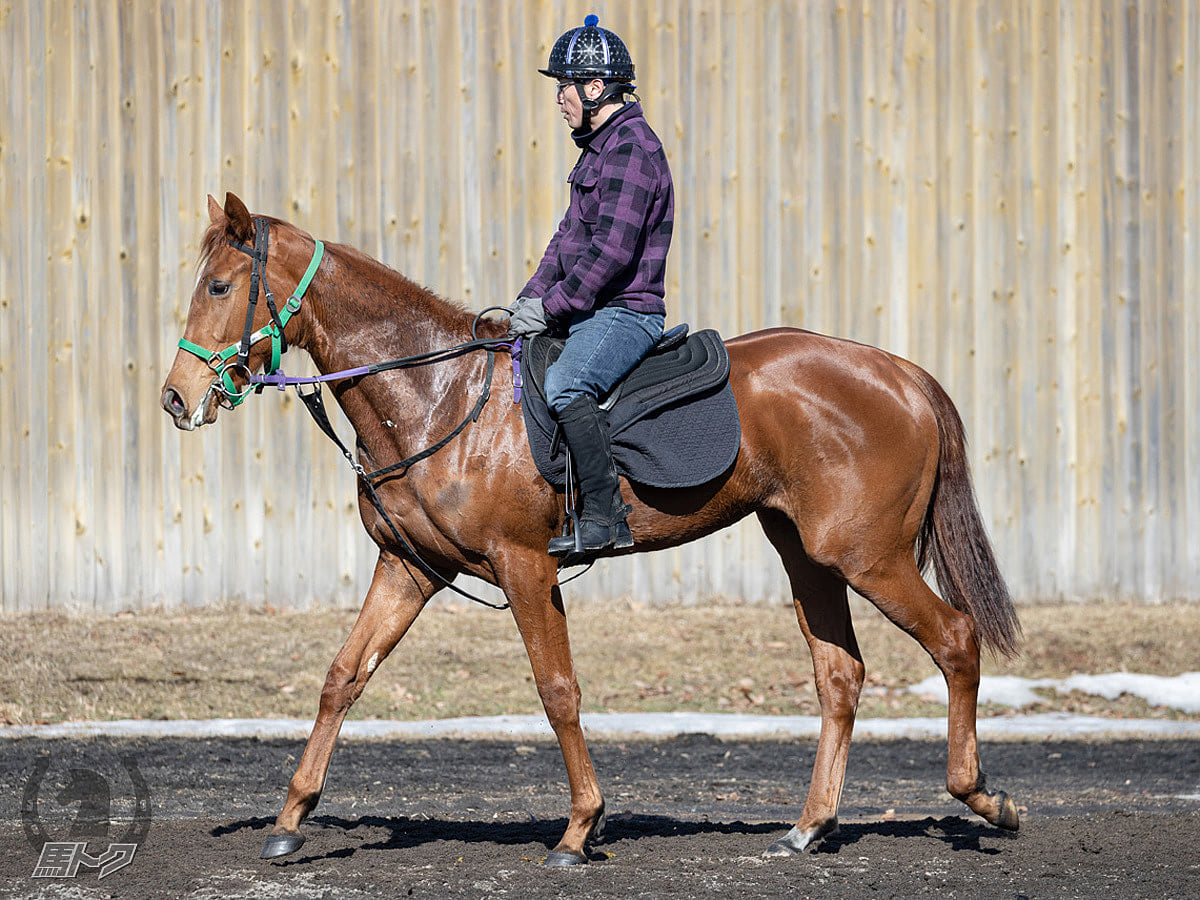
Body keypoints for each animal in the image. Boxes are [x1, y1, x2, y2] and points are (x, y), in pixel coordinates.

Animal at [159, 194, 1022, 868]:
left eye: (221, 284)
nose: (177, 397)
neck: (439, 394)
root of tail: (900, 373)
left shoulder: (524, 567)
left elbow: (558, 690)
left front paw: (579, 829)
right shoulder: (409, 569)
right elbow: (343, 676)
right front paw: (290, 819)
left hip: (867, 556)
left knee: (955, 639)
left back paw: (982, 798)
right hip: (808, 556)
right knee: (840, 676)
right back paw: (809, 827)